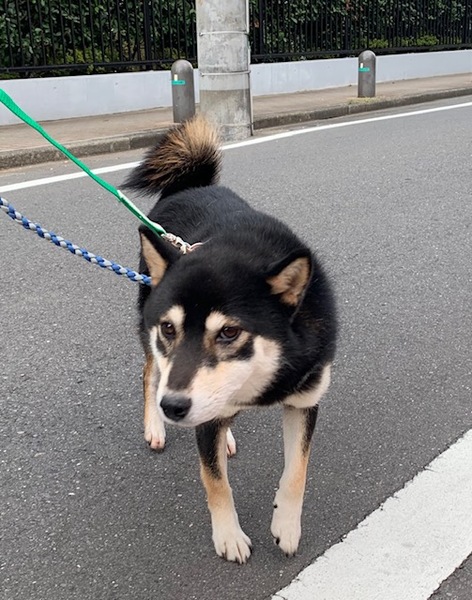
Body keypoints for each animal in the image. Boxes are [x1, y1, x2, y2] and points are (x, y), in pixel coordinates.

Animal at [124, 115, 337, 564]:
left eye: (229, 332)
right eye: (169, 328)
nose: (173, 408)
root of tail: (192, 186)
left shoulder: (305, 400)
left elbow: (297, 471)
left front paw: (286, 526)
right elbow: (216, 483)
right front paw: (229, 537)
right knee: (150, 375)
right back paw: (157, 425)